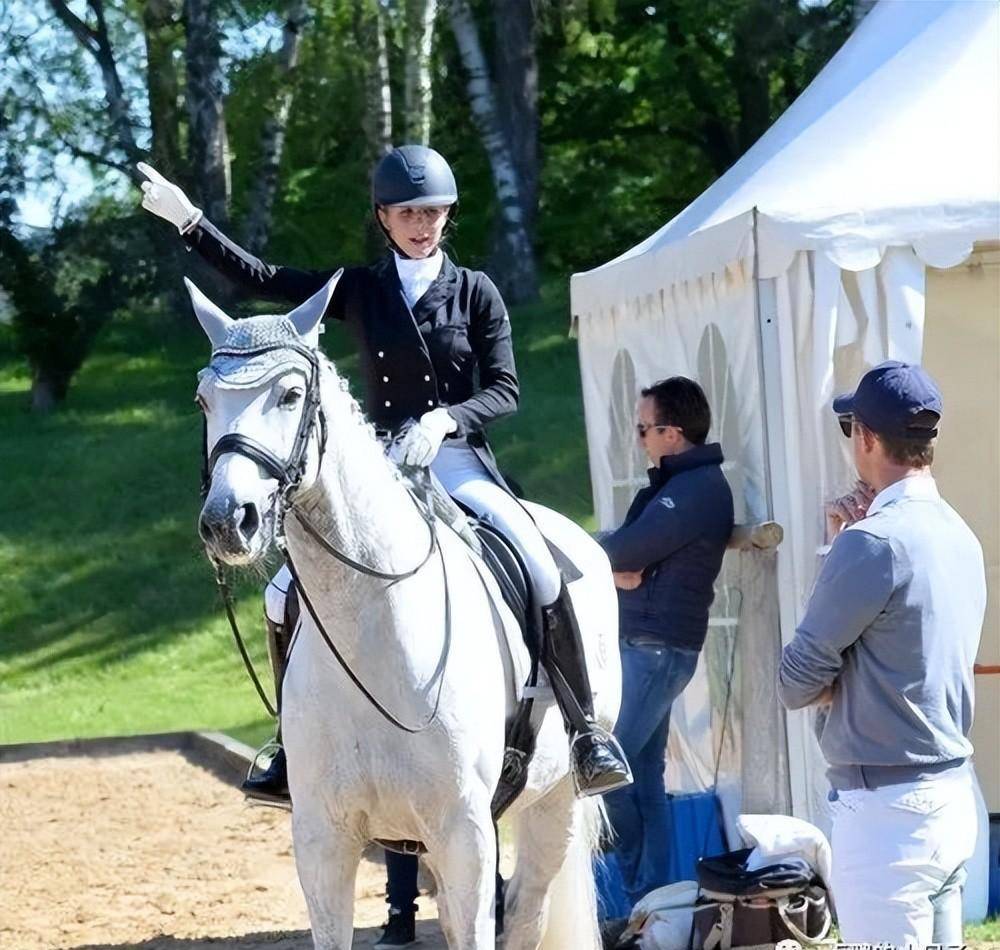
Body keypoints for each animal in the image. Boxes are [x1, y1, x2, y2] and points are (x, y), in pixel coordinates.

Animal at [190, 272, 620, 948]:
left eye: (290, 395)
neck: (370, 629)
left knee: (527, 911)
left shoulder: (465, 833)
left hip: (556, 802)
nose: (229, 522)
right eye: (204, 401)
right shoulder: (322, 836)